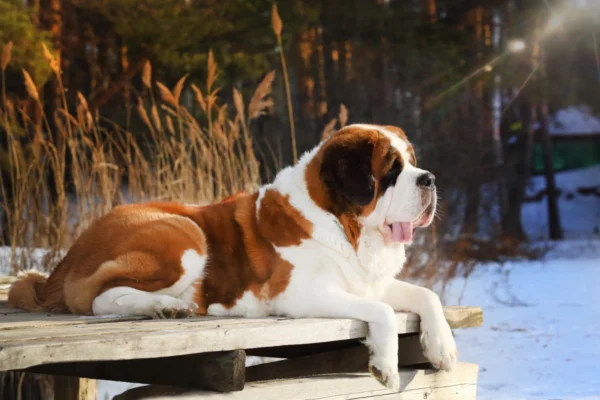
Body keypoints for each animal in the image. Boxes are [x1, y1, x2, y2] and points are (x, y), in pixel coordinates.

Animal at [8, 122, 460, 390]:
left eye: (413, 163)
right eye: (391, 170)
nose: (430, 179)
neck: (342, 223)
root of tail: (67, 257)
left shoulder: (369, 282)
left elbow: (426, 295)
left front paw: (443, 348)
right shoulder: (300, 295)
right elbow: (382, 312)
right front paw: (386, 363)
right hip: (185, 235)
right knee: (101, 299)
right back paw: (166, 306)